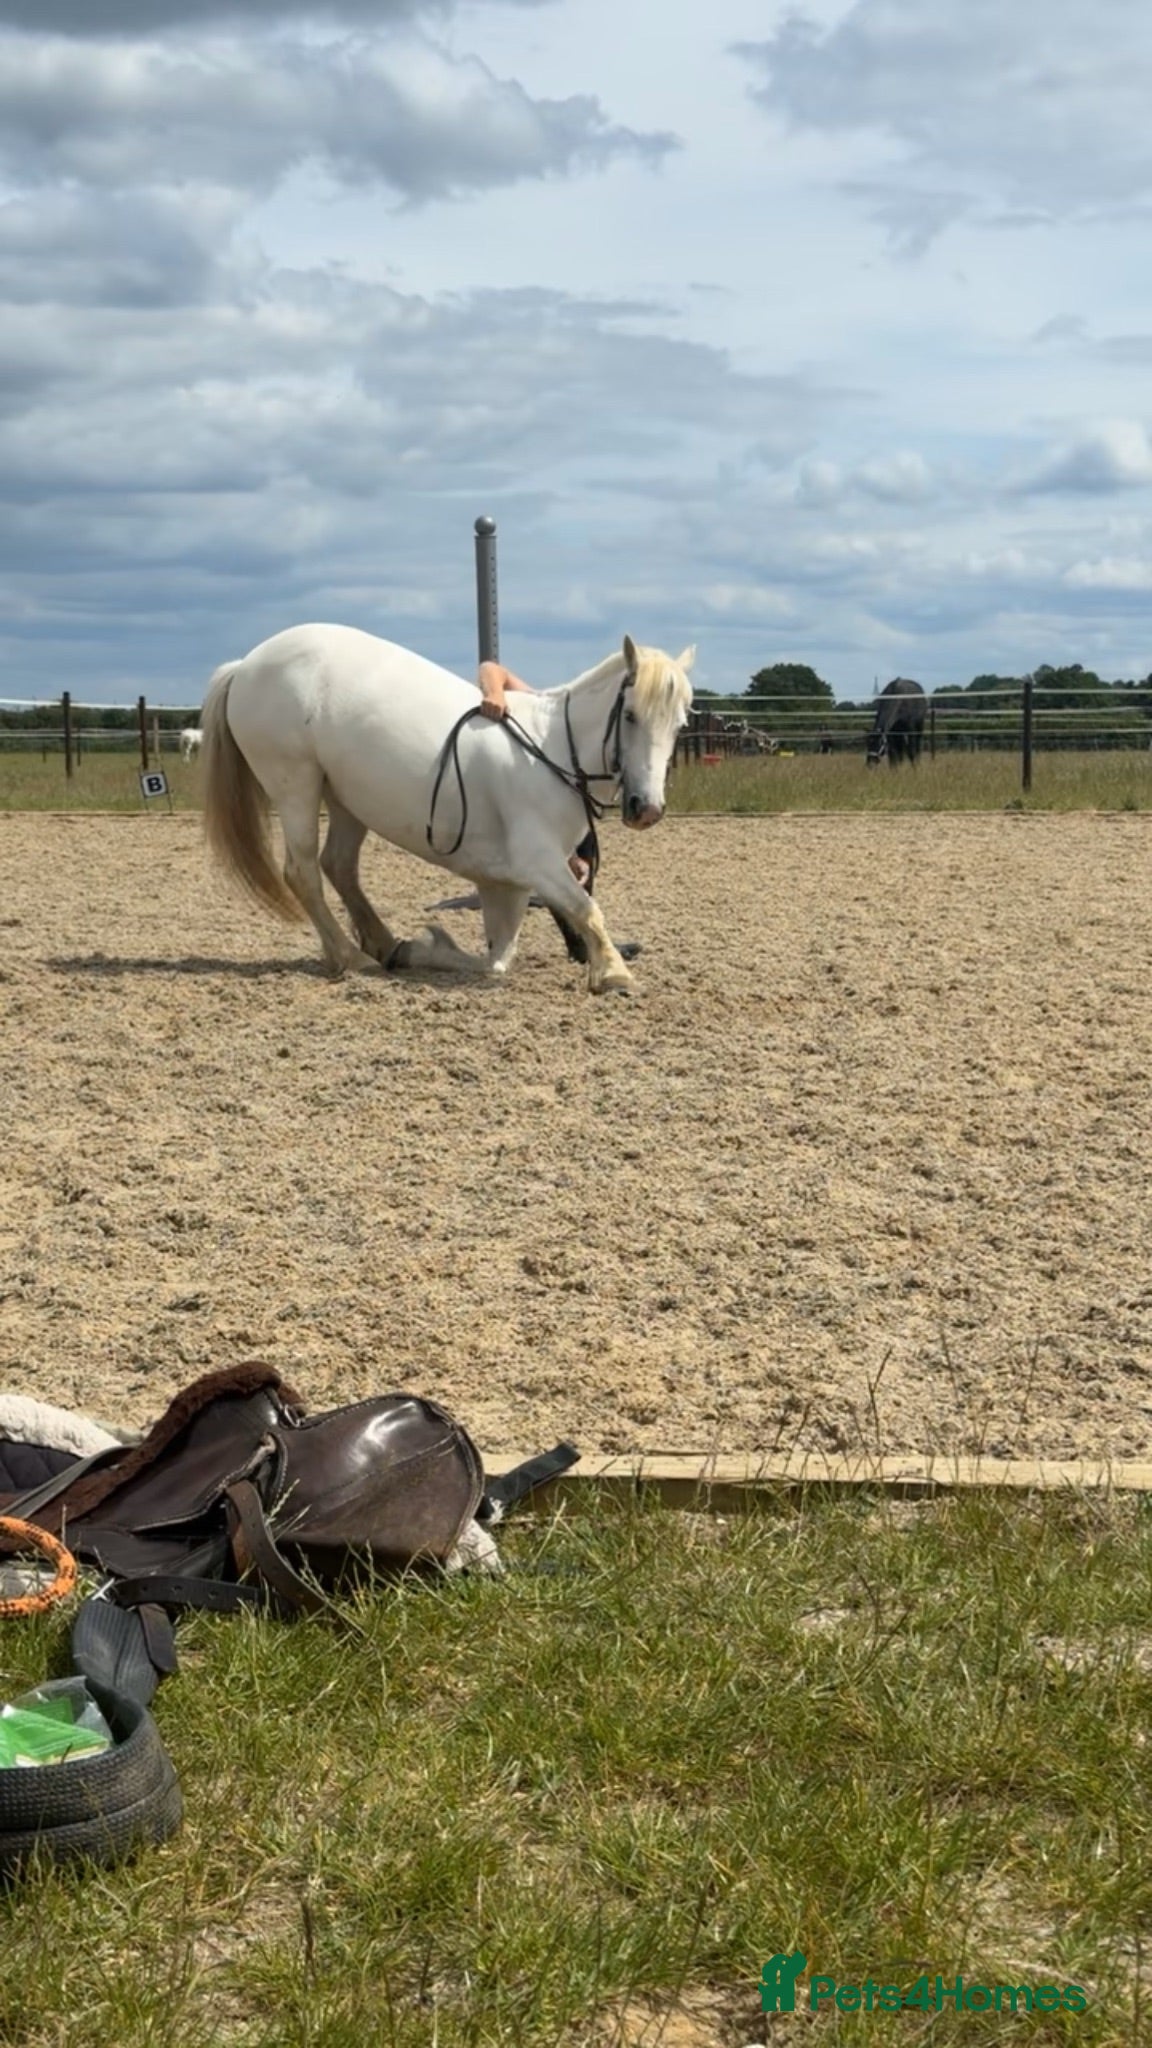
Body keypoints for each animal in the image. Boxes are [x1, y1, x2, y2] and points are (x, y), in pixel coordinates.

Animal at [200, 624, 694, 995]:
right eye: (630, 715)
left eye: (680, 723)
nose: (647, 808)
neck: (549, 750)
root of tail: (244, 665)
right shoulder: (538, 864)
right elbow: (586, 909)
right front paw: (615, 974)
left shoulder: (507, 885)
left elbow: (498, 959)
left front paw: (421, 950)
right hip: (295, 785)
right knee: (303, 873)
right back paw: (351, 955)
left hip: (345, 798)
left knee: (338, 865)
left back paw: (381, 944)